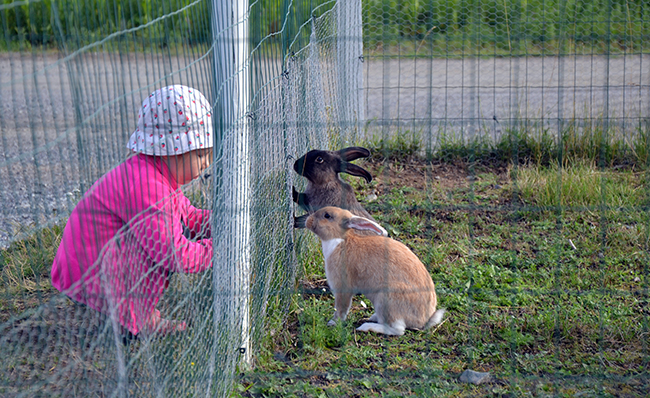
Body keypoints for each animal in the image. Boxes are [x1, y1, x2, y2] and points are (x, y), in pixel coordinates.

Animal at [306, 207, 442, 334]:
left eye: (327, 216)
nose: (308, 221)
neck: (339, 240)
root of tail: (423, 319)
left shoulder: (342, 287)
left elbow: (341, 308)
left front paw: (333, 322)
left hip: (386, 299)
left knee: (398, 329)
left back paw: (366, 326)